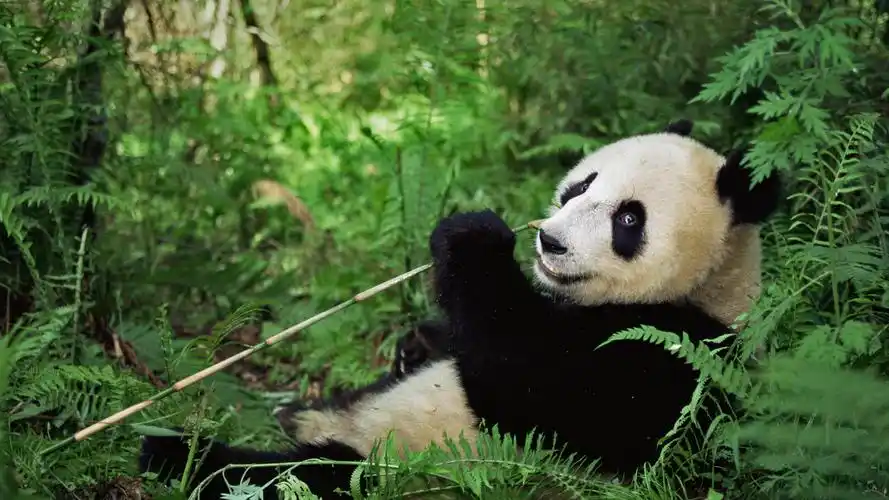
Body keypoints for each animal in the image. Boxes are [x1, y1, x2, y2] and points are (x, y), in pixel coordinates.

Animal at [138, 119, 782, 500]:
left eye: (628, 218)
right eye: (581, 186)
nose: (549, 241)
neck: (708, 287)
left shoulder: (677, 358)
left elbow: (534, 391)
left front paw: (472, 238)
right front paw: (416, 343)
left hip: (394, 470)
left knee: (300, 477)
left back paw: (177, 455)